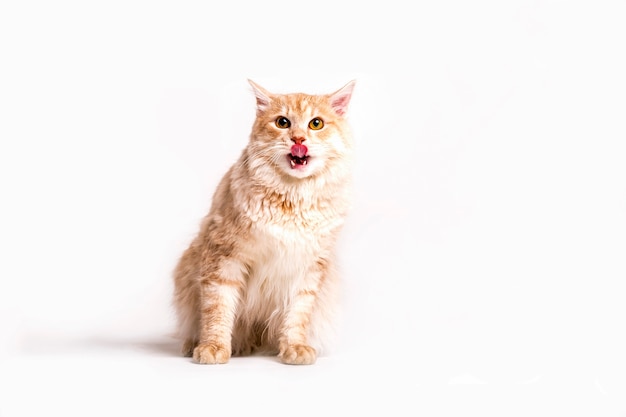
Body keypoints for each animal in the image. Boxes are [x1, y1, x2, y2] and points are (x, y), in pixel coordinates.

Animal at [172, 79, 356, 364]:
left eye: (316, 123)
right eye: (282, 122)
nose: (298, 139)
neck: (292, 200)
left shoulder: (309, 269)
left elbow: (297, 316)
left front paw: (294, 348)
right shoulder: (223, 256)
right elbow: (217, 309)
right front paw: (213, 347)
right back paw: (202, 344)